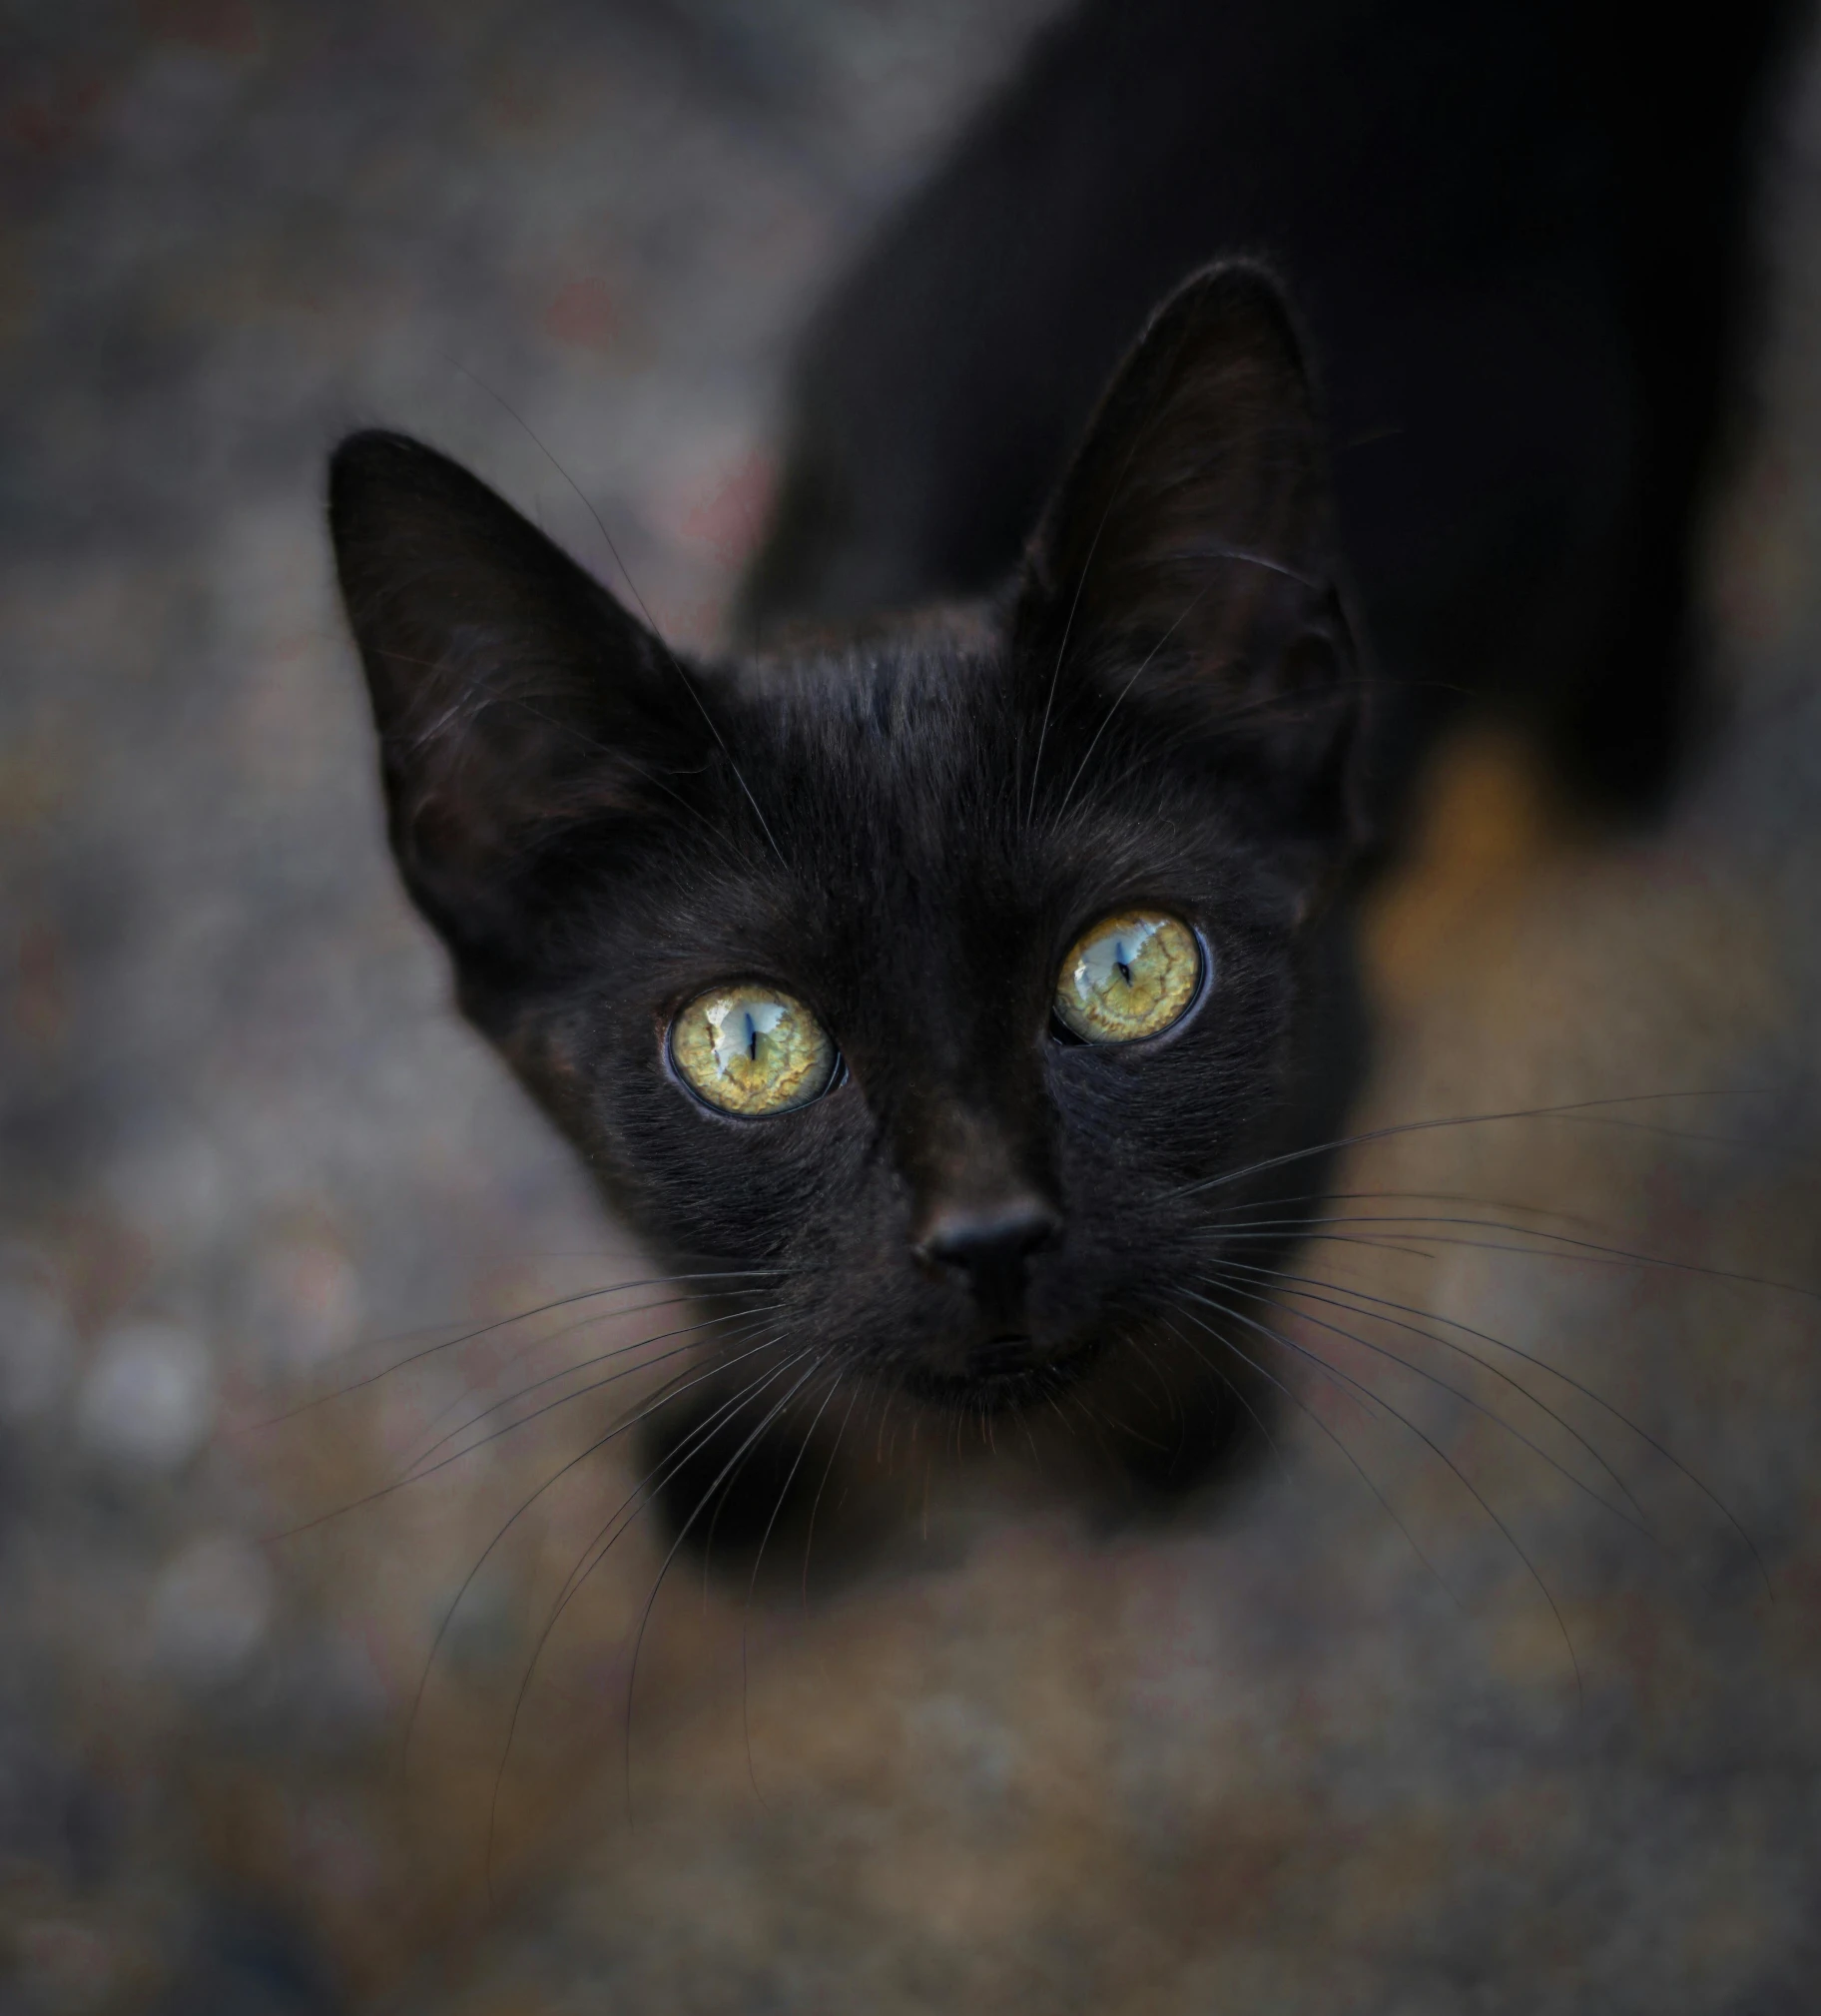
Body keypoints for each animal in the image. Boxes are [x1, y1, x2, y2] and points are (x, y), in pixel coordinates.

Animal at [330, 0, 1790, 1556]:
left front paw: (1170, 1439)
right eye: (747, 1042)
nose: (990, 1235)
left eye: (1133, 968)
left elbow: (1226, 1283)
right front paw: (757, 1458)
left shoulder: (1327, 1075)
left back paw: (1632, 727)